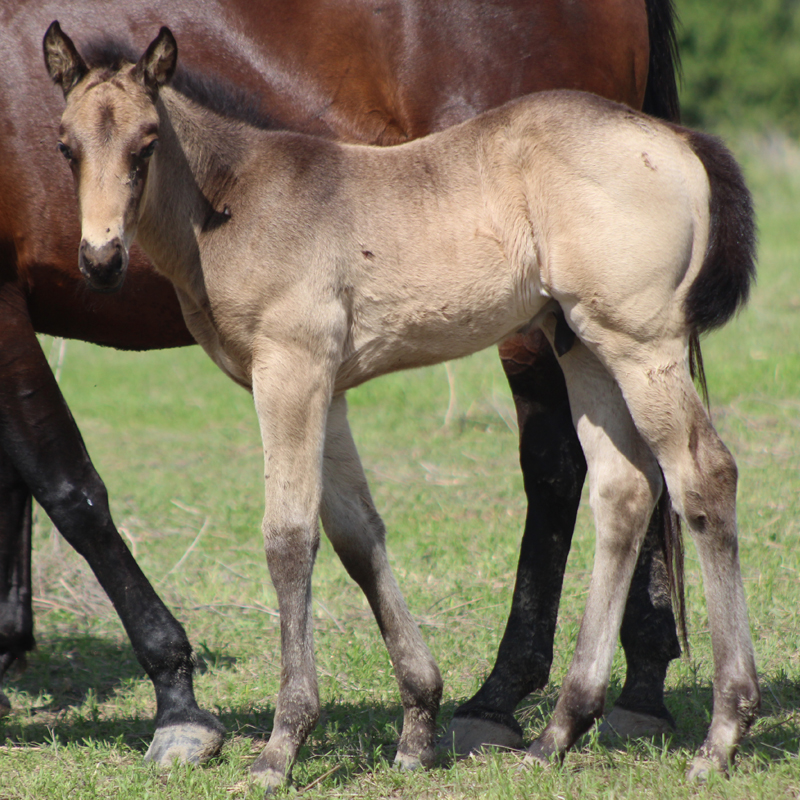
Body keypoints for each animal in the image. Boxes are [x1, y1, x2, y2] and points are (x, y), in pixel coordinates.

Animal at [45, 23, 759, 790]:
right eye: (66, 145)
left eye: (146, 143)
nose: (101, 260)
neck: (232, 199)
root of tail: (677, 138)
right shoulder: (329, 389)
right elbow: (358, 537)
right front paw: (417, 728)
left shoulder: (290, 371)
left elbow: (288, 540)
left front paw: (281, 747)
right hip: (581, 343)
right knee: (624, 491)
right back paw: (558, 733)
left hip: (641, 342)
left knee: (704, 477)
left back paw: (721, 735)